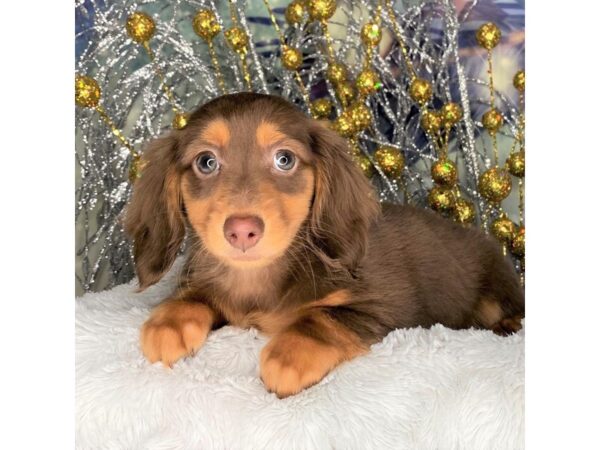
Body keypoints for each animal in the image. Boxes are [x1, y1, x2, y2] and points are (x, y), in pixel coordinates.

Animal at [124, 91, 524, 398]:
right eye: (206, 162)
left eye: (284, 159)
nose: (242, 231)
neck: (261, 277)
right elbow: (195, 294)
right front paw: (169, 323)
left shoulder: (386, 307)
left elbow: (323, 317)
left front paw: (289, 355)